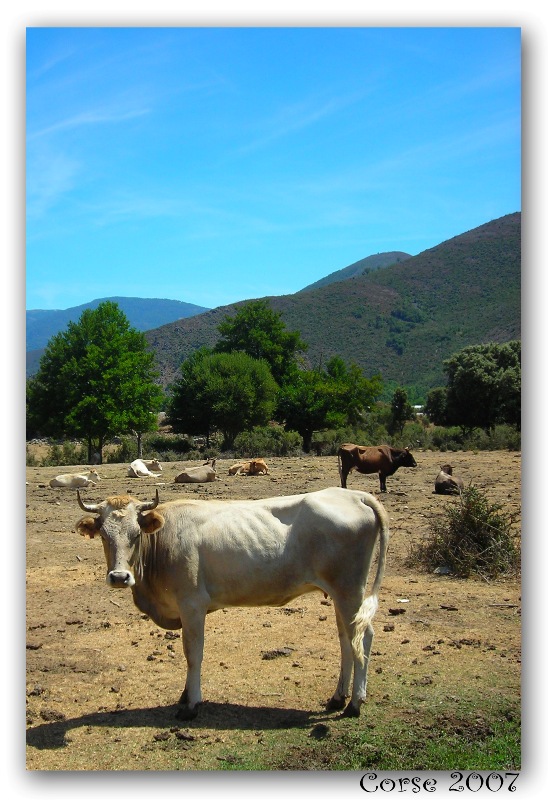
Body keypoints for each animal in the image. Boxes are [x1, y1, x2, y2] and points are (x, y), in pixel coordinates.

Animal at [75, 486, 389, 720]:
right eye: (104, 535)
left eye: (136, 534)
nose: (119, 577)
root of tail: (354, 495)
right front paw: (185, 696)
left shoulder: (192, 605)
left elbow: (193, 653)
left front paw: (192, 704)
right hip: (340, 594)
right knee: (346, 639)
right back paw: (338, 697)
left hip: (350, 591)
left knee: (364, 637)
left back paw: (355, 703)